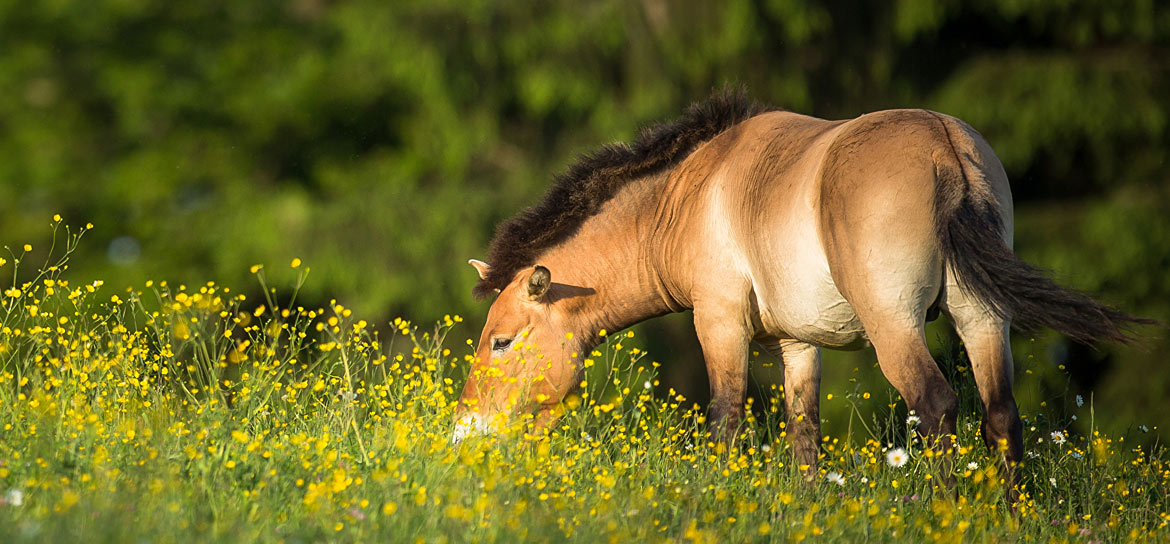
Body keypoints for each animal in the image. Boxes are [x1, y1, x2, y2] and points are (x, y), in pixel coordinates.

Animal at [451, 88, 1146, 484]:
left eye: (502, 342)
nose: (465, 434)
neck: (688, 195)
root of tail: (944, 147)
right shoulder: (797, 346)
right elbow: (804, 436)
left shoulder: (719, 324)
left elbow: (726, 420)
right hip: (981, 319)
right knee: (999, 415)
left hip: (894, 327)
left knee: (937, 407)